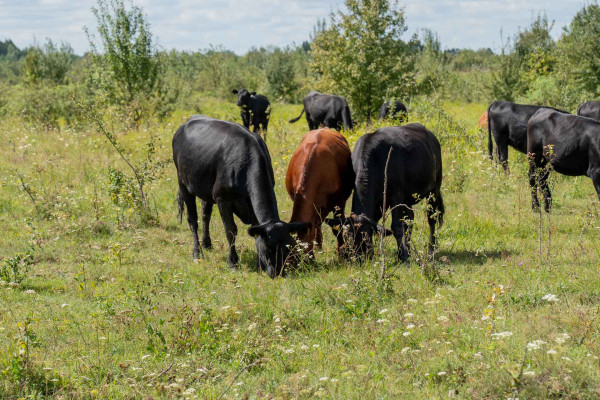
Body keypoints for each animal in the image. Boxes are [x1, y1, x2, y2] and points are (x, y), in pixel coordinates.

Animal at [172, 115, 310, 278]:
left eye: (287, 248)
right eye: (268, 248)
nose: (278, 273)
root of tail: (187, 121)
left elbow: (256, 231)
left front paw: (259, 265)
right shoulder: (222, 198)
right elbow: (231, 230)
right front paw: (233, 262)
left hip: (205, 189)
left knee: (206, 214)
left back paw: (207, 244)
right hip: (183, 183)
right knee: (193, 220)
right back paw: (197, 253)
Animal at [326, 125, 442, 262]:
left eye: (365, 236)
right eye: (347, 236)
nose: (359, 258)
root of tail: (430, 135)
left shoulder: (395, 197)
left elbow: (397, 227)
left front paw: (402, 256)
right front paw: (405, 253)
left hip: (434, 189)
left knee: (432, 218)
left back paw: (431, 251)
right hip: (407, 200)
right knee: (410, 219)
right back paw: (409, 249)